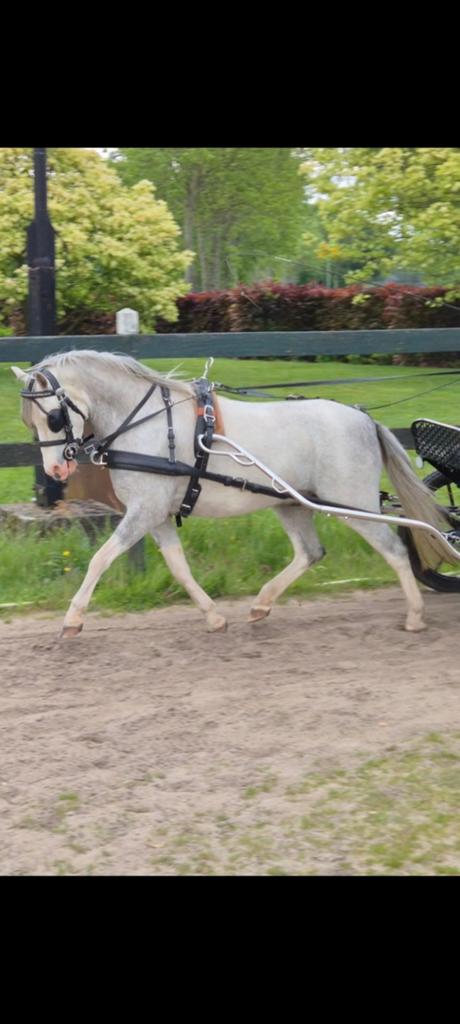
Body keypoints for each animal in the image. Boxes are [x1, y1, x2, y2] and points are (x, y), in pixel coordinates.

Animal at [11, 350, 452, 638]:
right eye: (30, 422)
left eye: (53, 417)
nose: (55, 470)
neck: (148, 424)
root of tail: (363, 419)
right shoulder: (155, 514)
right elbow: (179, 568)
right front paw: (213, 616)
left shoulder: (143, 511)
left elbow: (100, 559)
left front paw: (73, 619)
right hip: (293, 503)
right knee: (311, 553)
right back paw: (261, 604)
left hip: (353, 504)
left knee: (394, 549)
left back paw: (415, 615)